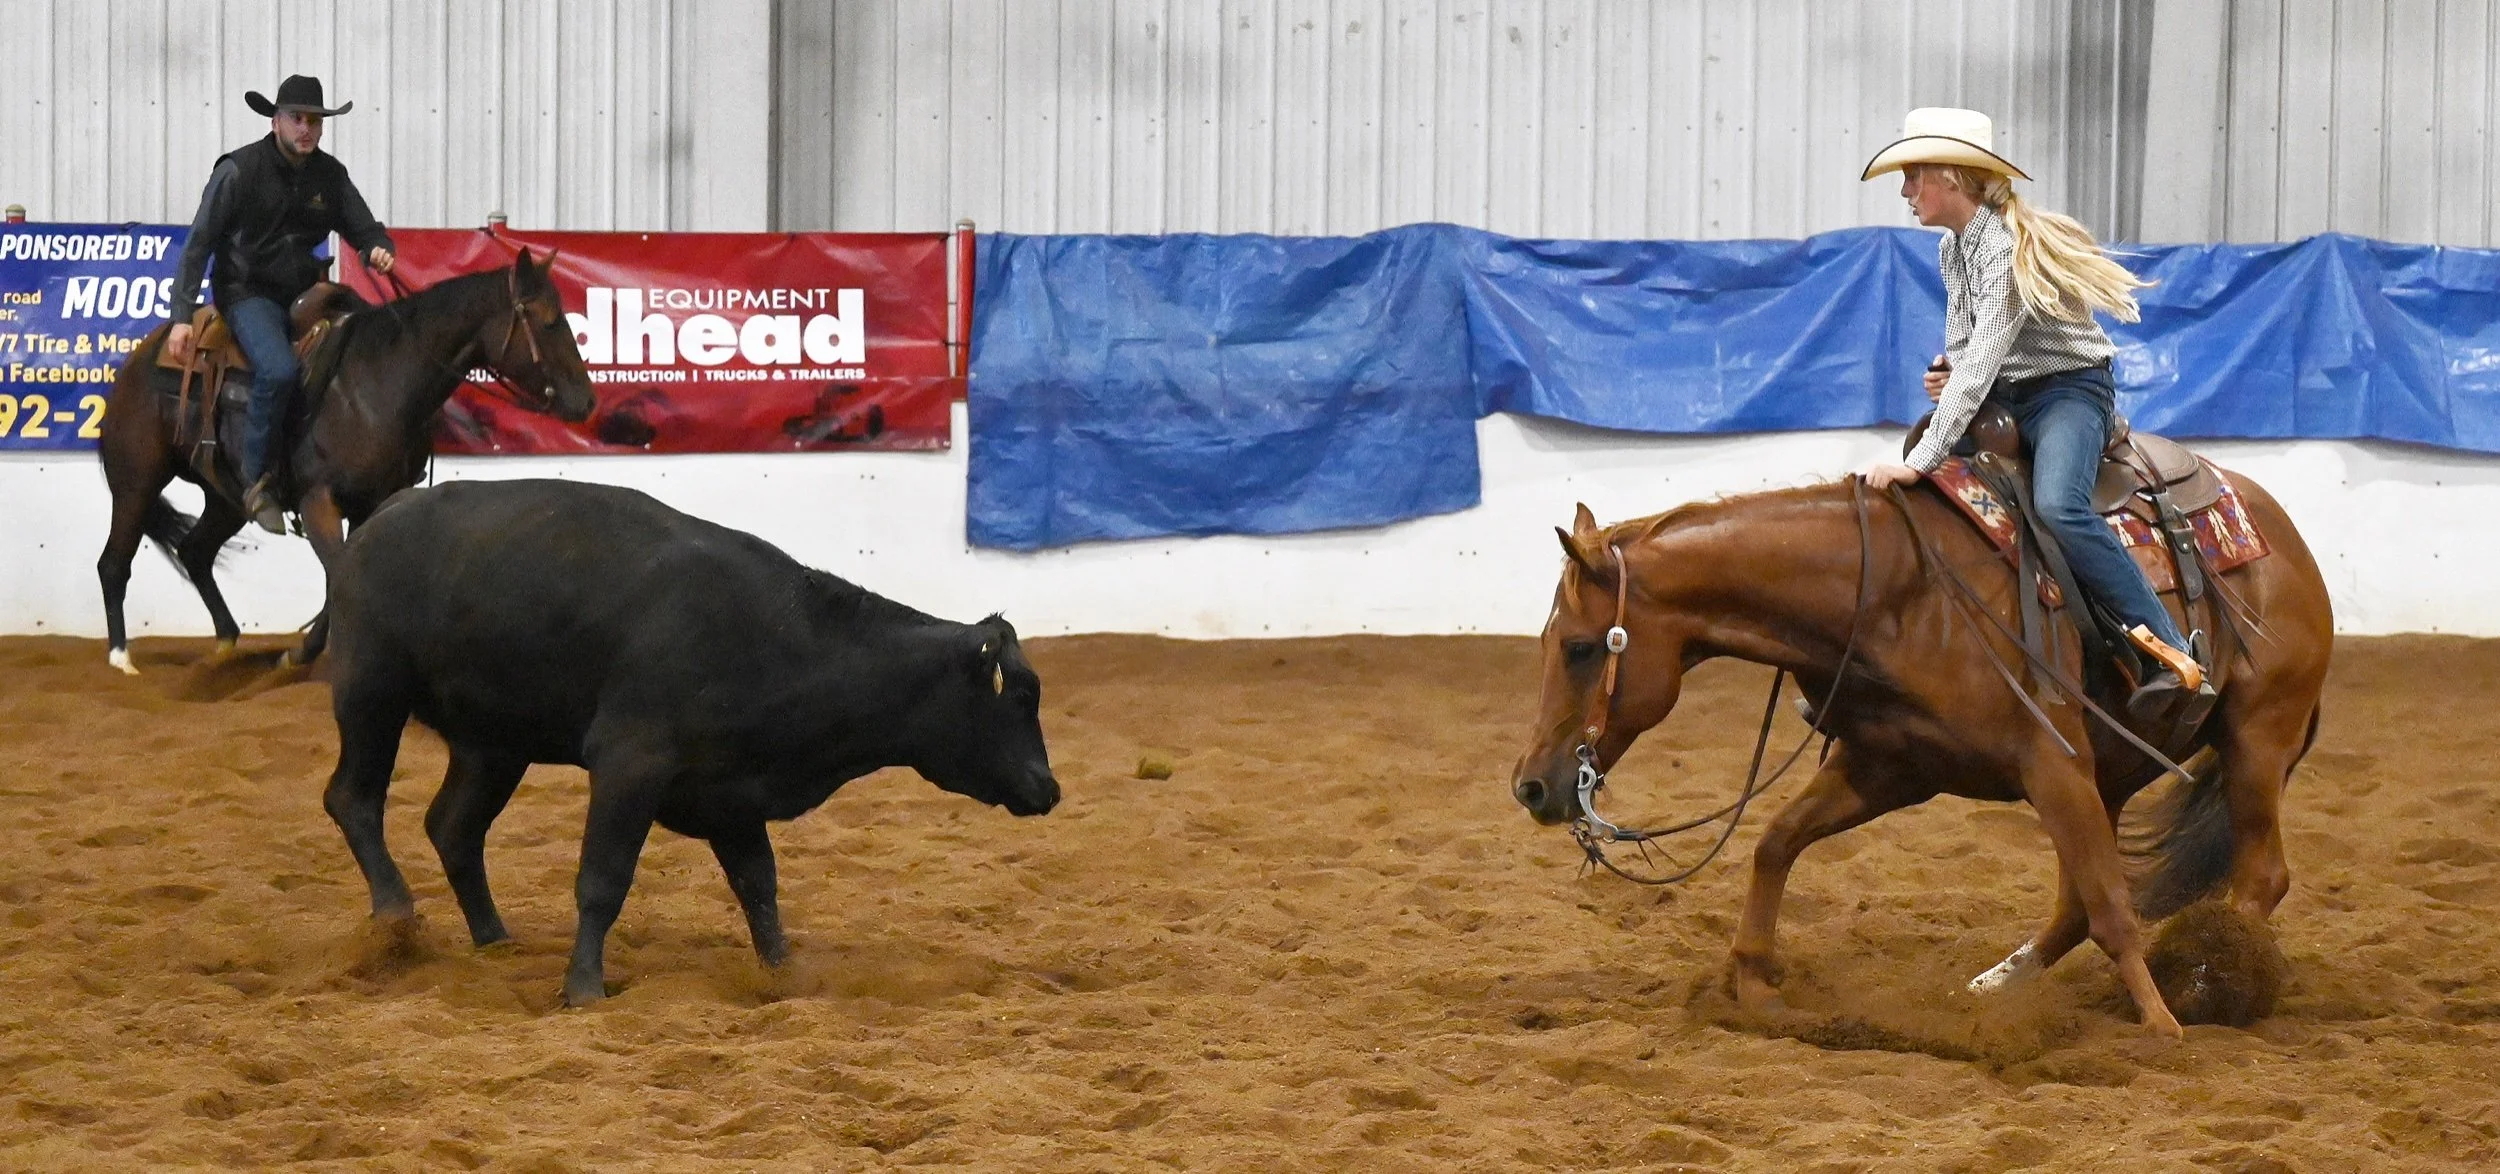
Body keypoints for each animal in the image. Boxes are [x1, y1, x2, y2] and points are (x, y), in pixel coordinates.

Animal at [319, 478, 1060, 1006]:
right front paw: (583, 987)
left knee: (454, 827)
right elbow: (603, 879)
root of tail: (379, 520)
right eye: (1019, 698)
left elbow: (759, 886)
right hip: (371, 689)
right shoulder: (629, 765)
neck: (780, 640)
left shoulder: (732, 796)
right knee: (353, 799)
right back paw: (395, 915)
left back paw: (494, 939)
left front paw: (781, 976)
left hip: (493, 744)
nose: (1048, 788)